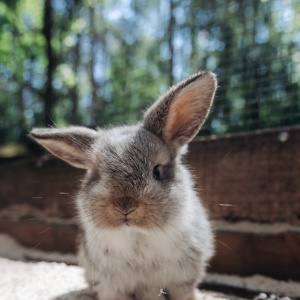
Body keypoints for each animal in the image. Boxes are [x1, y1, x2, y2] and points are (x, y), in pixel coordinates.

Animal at [29, 71, 218, 300]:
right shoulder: (112, 285)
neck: (136, 235)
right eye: (98, 175)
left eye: (156, 171)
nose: (125, 206)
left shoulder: (181, 281)